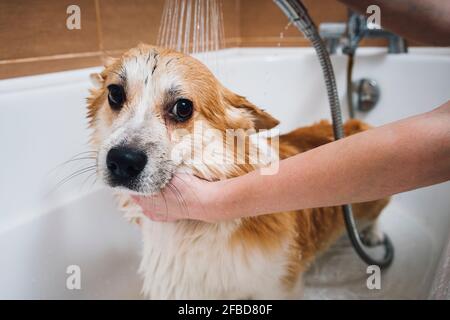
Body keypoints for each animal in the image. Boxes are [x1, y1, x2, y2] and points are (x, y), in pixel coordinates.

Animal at [88, 43, 390, 298]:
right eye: (115, 93)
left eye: (183, 107)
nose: (123, 161)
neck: (191, 231)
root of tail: (355, 124)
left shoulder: (279, 285)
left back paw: (373, 234)